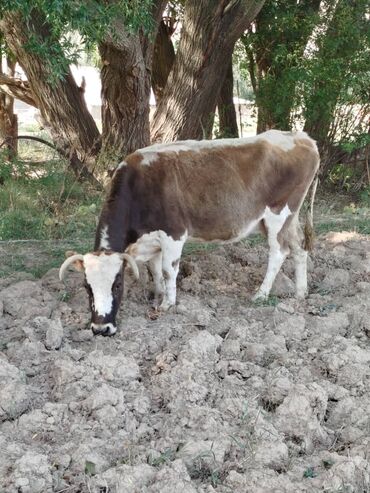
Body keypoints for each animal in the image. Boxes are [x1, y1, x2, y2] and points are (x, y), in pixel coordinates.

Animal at [59, 129, 320, 336]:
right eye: (87, 287)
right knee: (299, 248)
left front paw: (168, 304)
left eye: (117, 284)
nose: (101, 329)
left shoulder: (174, 234)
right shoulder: (152, 241)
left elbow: (168, 270)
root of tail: (300, 137)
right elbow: (155, 270)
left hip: (278, 215)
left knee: (279, 252)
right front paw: (158, 295)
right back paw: (300, 292)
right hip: (289, 218)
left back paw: (261, 294)